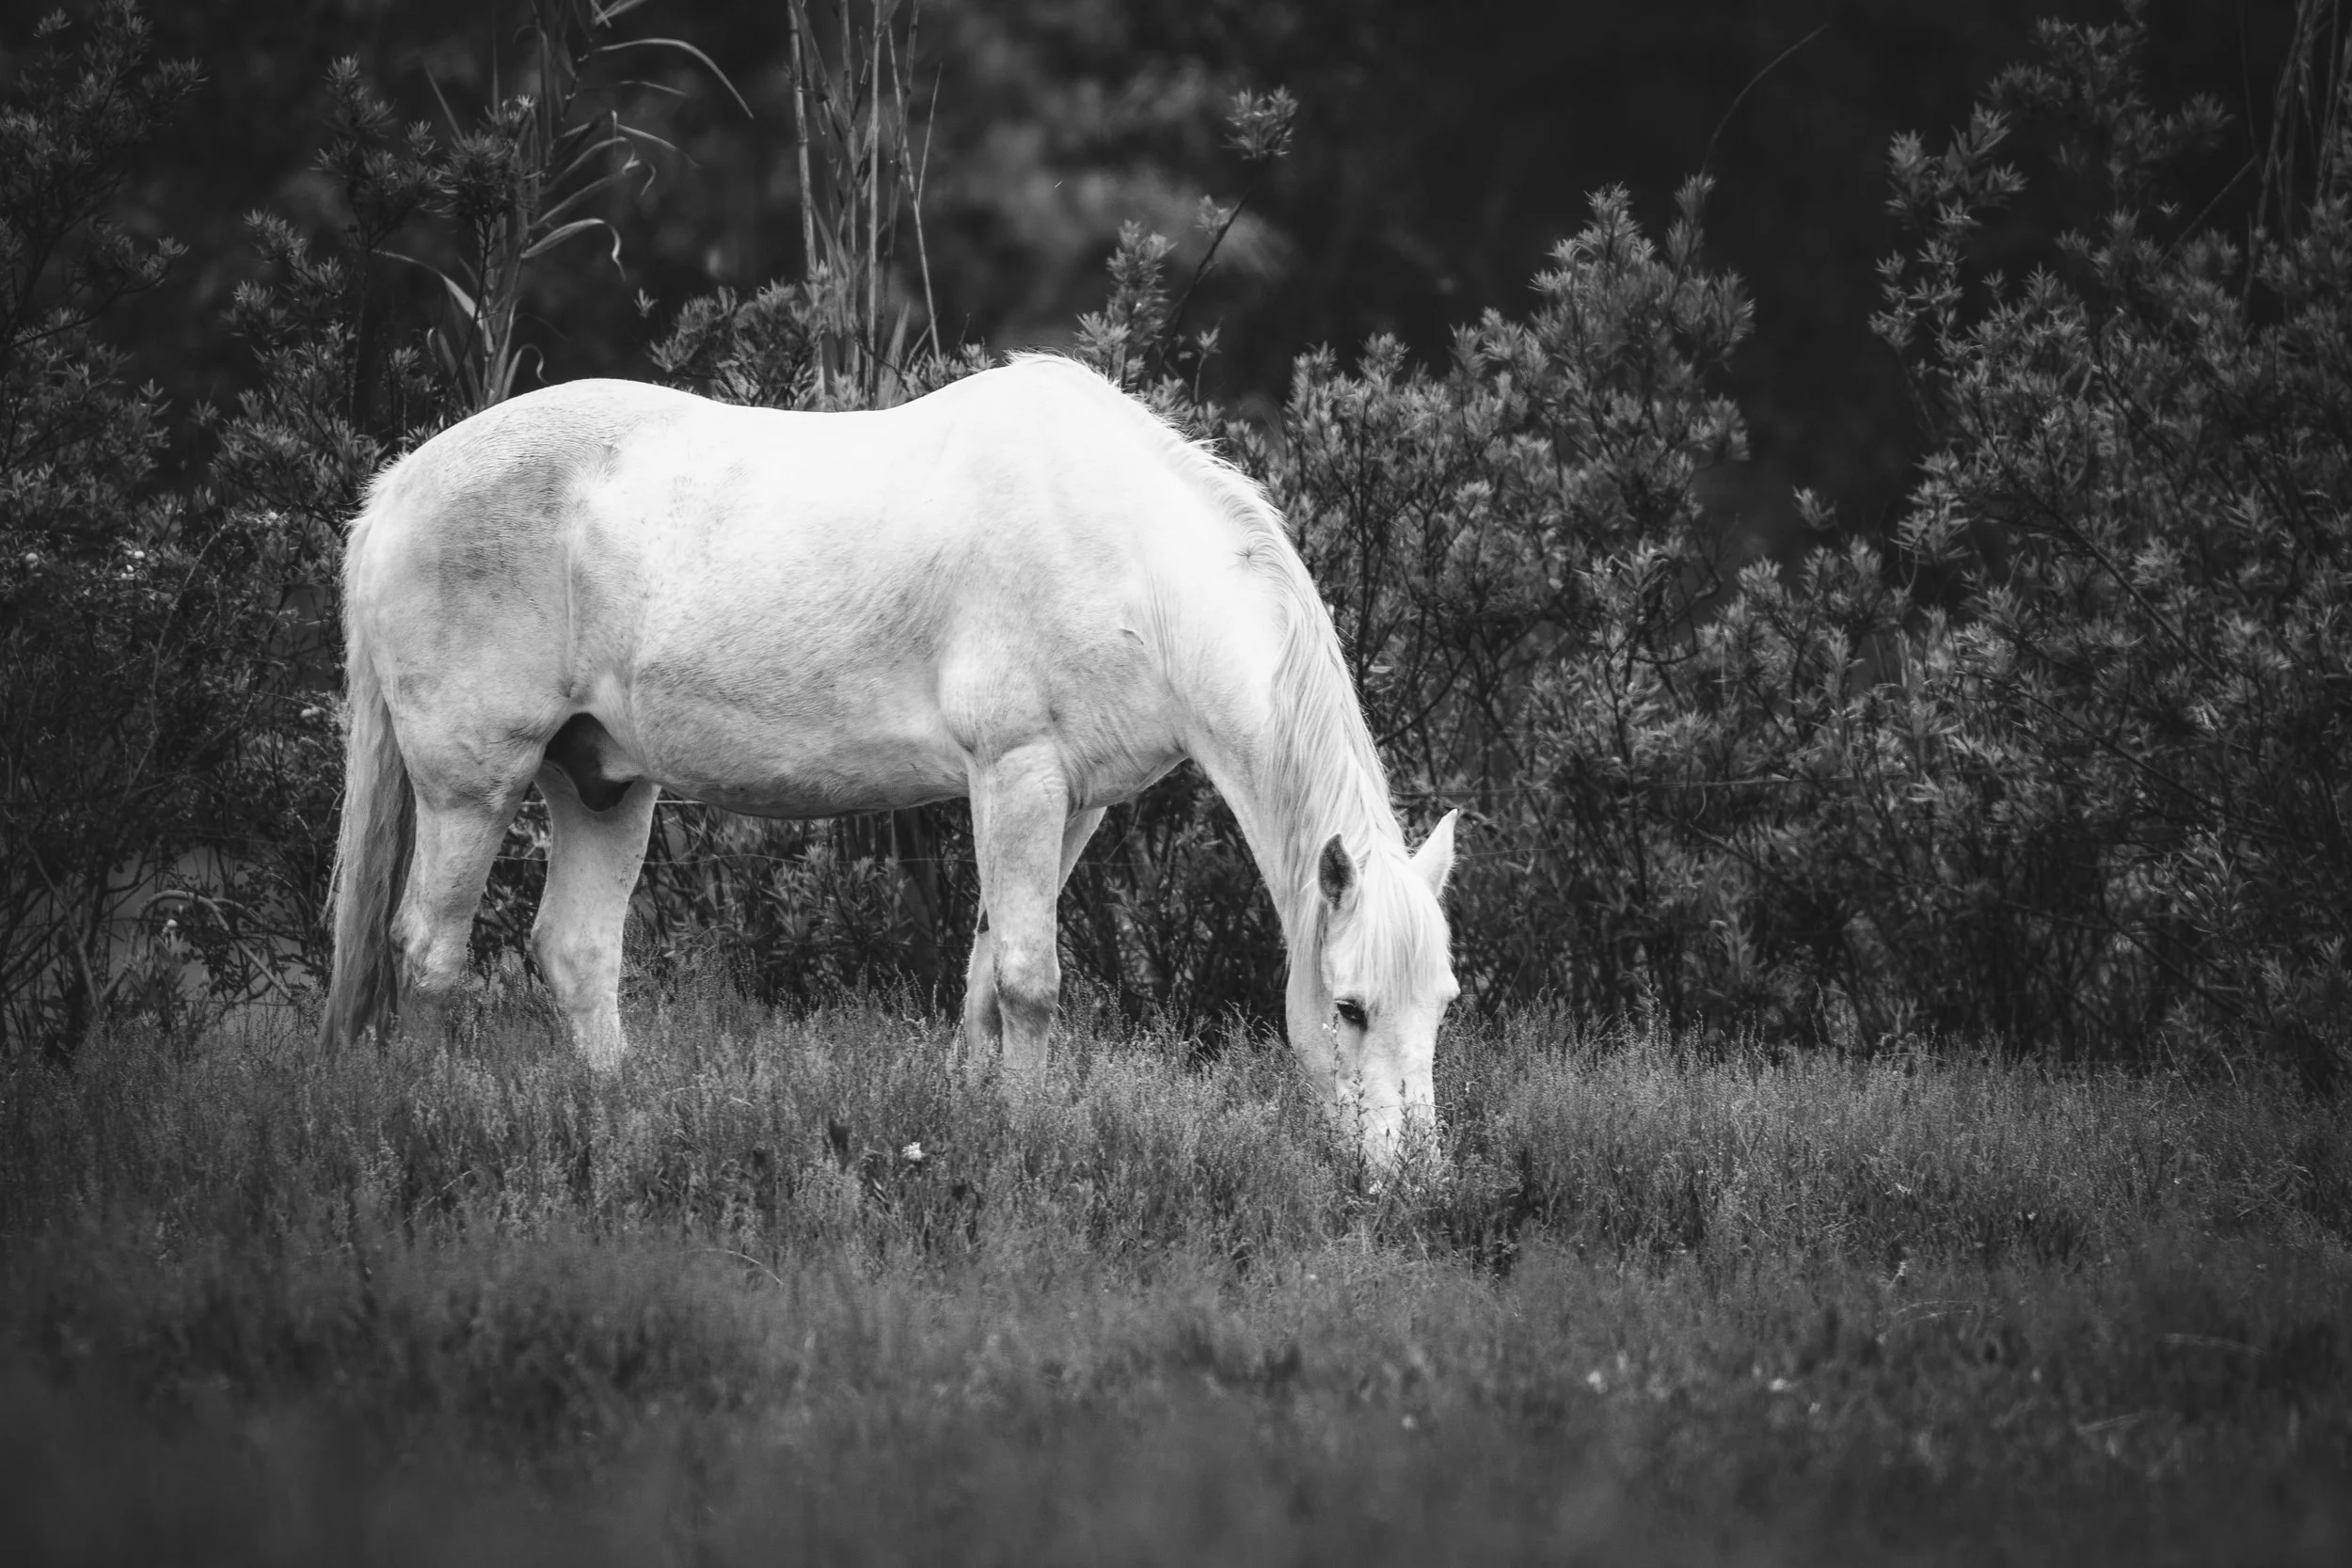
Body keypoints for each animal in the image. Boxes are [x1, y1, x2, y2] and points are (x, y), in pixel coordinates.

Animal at [318, 354, 1460, 1163]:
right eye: (1349, 1007)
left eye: (1442, 1002)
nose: (1412, 1180)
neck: (1131, 558)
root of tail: (395, 492)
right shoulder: (1018, 772)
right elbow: (1031, 980)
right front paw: (1036, 1147)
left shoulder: (1070, 802)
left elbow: (985, 975)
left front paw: (969, 1121)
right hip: (473, 786)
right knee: (427, 951)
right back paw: (421, 1123)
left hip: (602, 784)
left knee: (576, 951)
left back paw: (623, 1125)